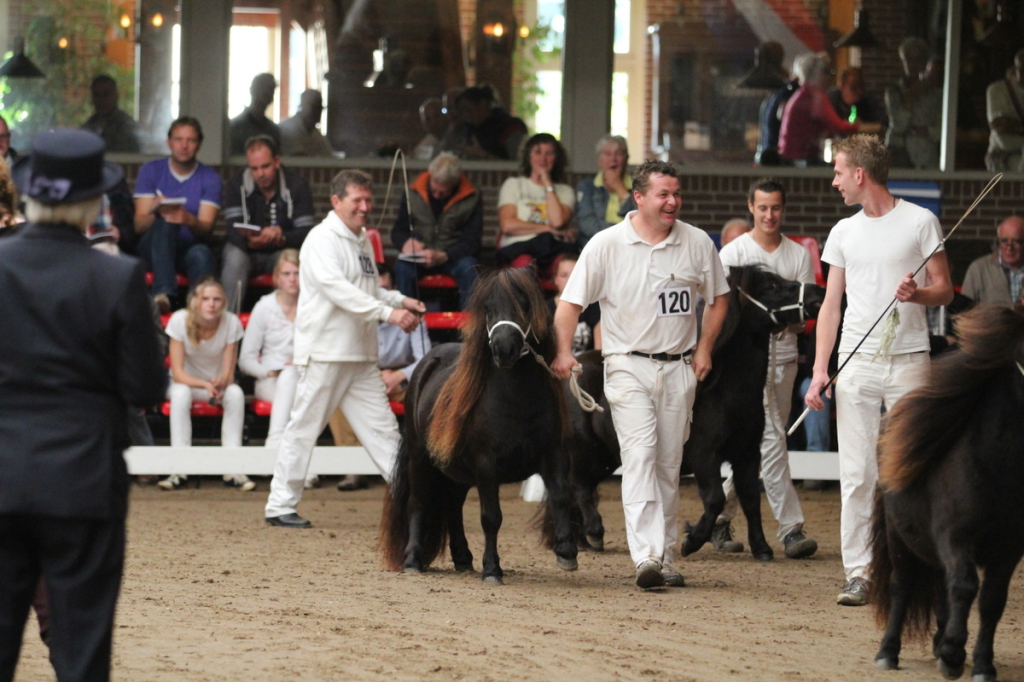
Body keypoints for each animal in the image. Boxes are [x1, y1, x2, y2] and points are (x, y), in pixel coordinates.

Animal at [382, 268, 581, 581]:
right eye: (488, 308)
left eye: (524, 304)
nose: (503, 348)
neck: (518, 401)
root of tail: (429, 360)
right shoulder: (487, 464)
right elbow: (491, 517)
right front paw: (492, 569)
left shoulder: (553, 454)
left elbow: (561, 496)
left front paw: (566, 552)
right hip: (420, 458)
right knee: (419, 502)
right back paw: (413, 560)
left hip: (457, 471)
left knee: (453, 506)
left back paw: (463, 558)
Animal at [868, 303, 1024, 679]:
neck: (997, 464)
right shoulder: (956, 536)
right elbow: (965, 587)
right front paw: (953, 654)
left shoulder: (1010, 547)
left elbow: (992, 601)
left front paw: (982, 664)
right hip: (898, 536)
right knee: (903, 584)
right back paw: (889, 652)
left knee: (942, 585)